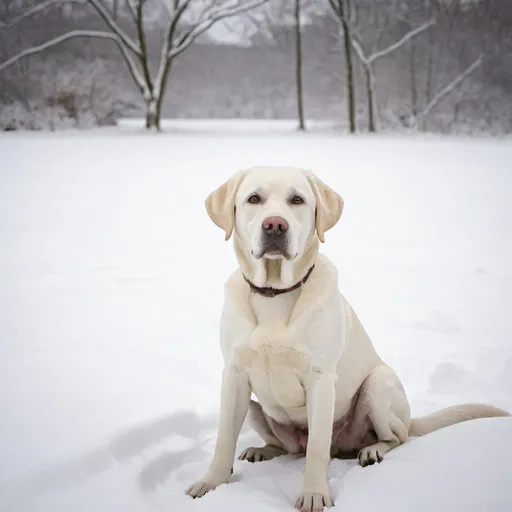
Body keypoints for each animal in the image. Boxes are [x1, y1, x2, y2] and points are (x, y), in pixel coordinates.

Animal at [185, 167, 508, 512]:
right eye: (254, 199)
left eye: (297, 200)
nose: (274, 225)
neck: (275, 293)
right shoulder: (234, 375)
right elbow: (224, 439)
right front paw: (210, 483)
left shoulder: (321, 379)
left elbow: (317, 448)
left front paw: (314, 494)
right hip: (257, 409)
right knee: (288, 446)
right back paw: (263, 450)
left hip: (378, 386)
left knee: (395, 437)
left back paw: (372, 450)